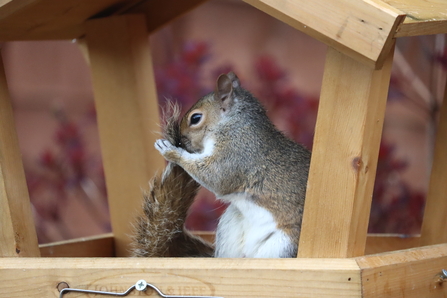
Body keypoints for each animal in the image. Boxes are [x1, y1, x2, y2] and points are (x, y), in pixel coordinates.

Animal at [131, 71, 310, 258]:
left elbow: (216, 176)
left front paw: (171, 151)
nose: (181, 141)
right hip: (229, 225)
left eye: (195, 118)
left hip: (284, 246)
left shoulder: (237, 153)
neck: (231, 125)